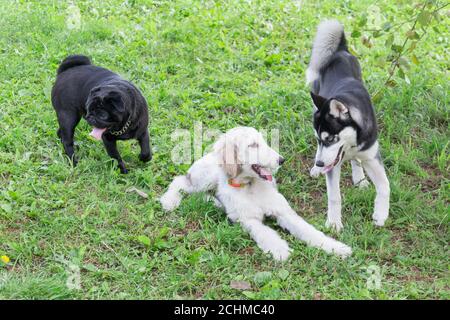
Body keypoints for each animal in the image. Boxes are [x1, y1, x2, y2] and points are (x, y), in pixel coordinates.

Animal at [160, 126, 354, 262]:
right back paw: (169, 201)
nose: (281, 160)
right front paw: (280, 249)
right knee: (181, 182)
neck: (250, 185)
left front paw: (335, 247)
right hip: (205, 178)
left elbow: (309, 231)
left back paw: (215, 202)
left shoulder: (283, 212)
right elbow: (266, 233)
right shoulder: (249, 220)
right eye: (253, 145)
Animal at [306, 19, 390, 230]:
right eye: (320, 139)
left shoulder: (371, 156)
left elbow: (385, 185)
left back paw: (358, 178)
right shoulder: (332, 164)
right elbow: (334, 196)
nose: (320, 163)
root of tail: (340, 50)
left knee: (356, 161)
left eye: (331, 138)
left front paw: (380, 214)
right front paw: (334, 223)